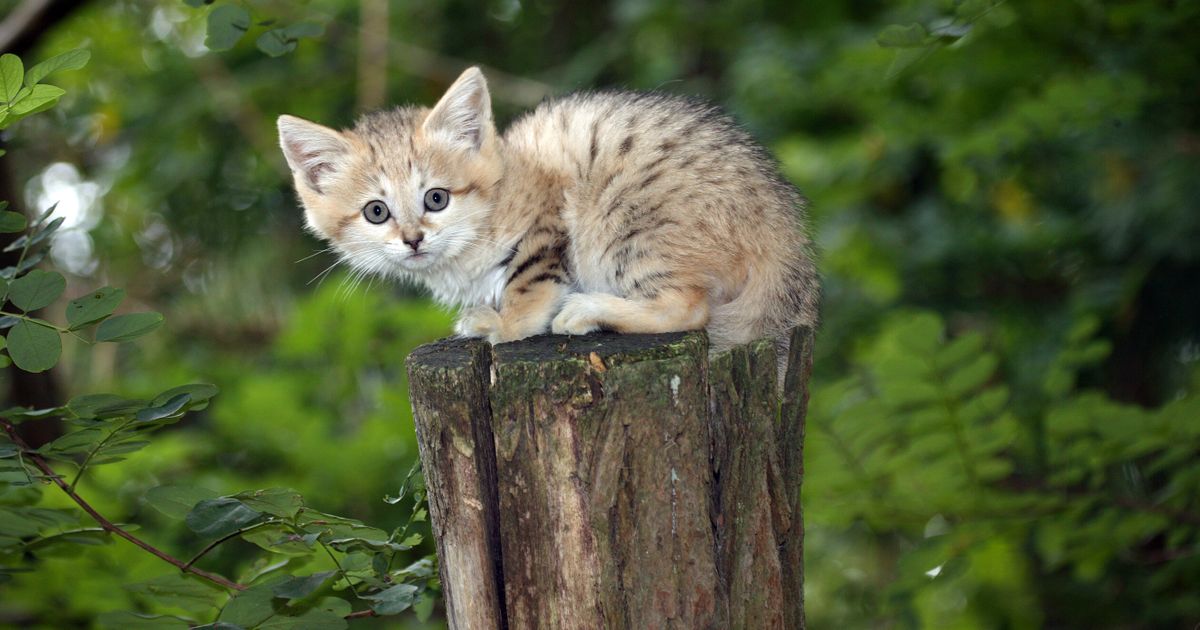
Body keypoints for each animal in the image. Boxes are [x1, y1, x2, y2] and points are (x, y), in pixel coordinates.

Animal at [277, 69, 820, 355]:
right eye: (376, 212)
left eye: (436, 198)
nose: (413, 239)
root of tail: (784, 229)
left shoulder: (547, 219)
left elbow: (528, 280)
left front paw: (507, 324)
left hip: (624, 218)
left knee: (689, 308)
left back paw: (588, 309)